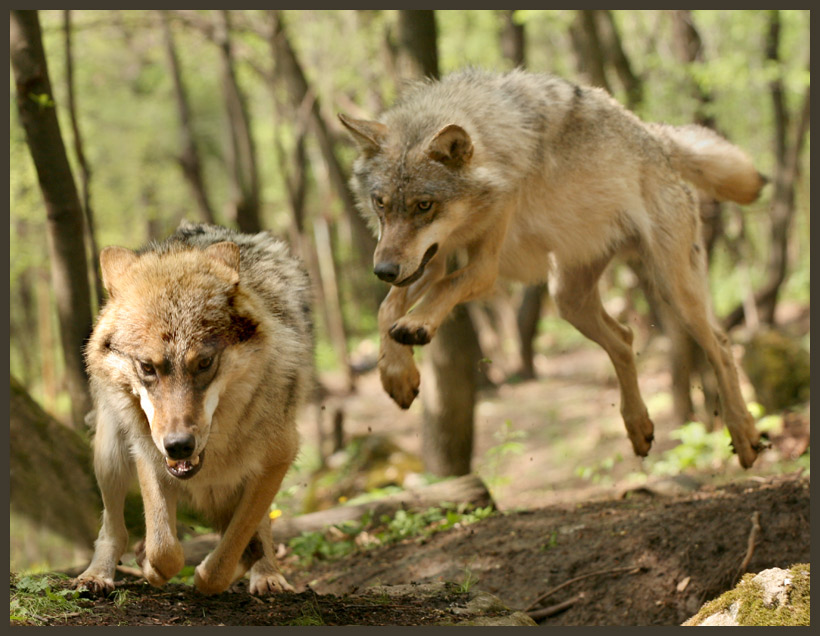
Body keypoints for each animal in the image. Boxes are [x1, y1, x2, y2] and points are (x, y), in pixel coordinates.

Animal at [74, 221, 314, 592]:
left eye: (204, 363)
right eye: (147, 367)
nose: (178, 445)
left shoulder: (279, 457)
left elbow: (233, 545)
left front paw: (228, 568)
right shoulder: (148, 452)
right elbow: (163, 546)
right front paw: (150, 566)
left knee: (260, 527)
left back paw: (267, 573)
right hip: (110, 455)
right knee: (113, 530)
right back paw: (97, 575)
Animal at [340, 68, 764, 468]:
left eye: (423, 206)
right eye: (380, 203)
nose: (382, 270)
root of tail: (656, 135)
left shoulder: (482, 267)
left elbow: (441, 291)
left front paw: (415, 327)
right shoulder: (431, 259)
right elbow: (386, 310)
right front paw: (397, 375)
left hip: (672, 289)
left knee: (721, 345)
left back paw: (744, 434)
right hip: (567, 299)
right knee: (625, 338)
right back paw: (639, 426)